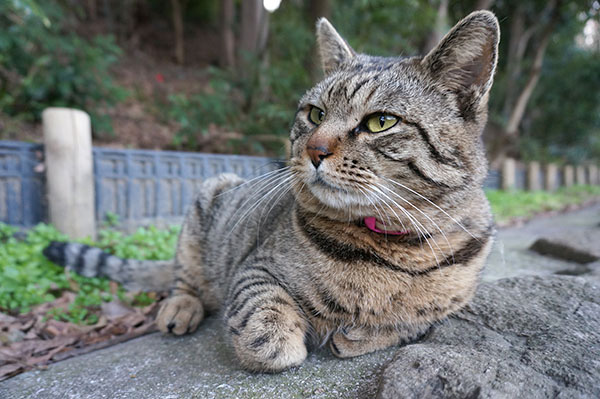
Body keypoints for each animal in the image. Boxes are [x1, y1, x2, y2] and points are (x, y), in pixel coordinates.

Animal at [44, 11, 500, 376]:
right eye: (315, 114)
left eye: (381, 122)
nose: (314, 150)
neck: (393, 248)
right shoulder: (254, 269)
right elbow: (261, 325)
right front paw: (290, 341)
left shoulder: (452, 302)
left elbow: (411, 320)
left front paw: (364, 333)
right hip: (208, 199)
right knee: (183, 277)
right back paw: (180, 307)